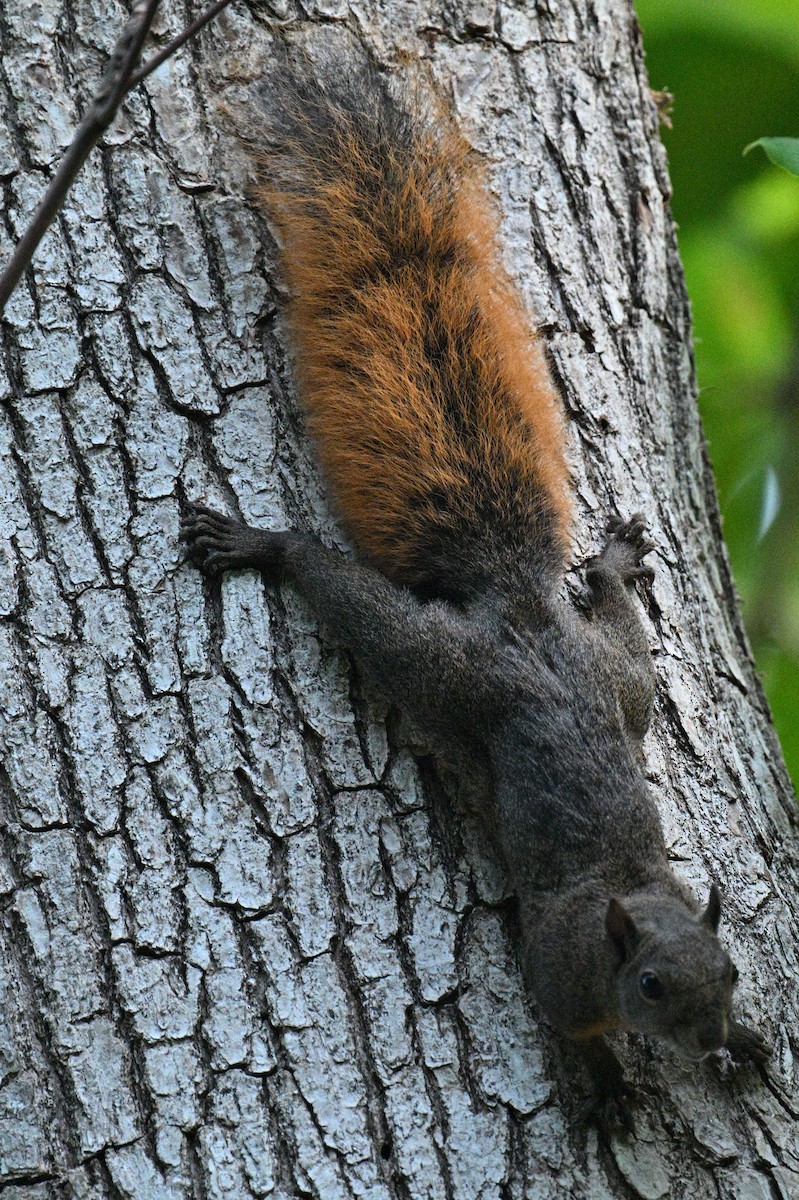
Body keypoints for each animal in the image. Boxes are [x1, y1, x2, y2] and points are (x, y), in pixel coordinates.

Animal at [181, 52, 771, 1129]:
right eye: (650, 985)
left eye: (732, 974)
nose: (707, 1037)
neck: (629, 898)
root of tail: (519, 607)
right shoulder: (554, 967)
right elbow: (565, 1030)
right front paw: (604, 1085)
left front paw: (745, 1041)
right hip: (440, 667)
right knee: (348, 599)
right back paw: (264, 546)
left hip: (615, 681)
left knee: (620, 642)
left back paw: (611, 564)